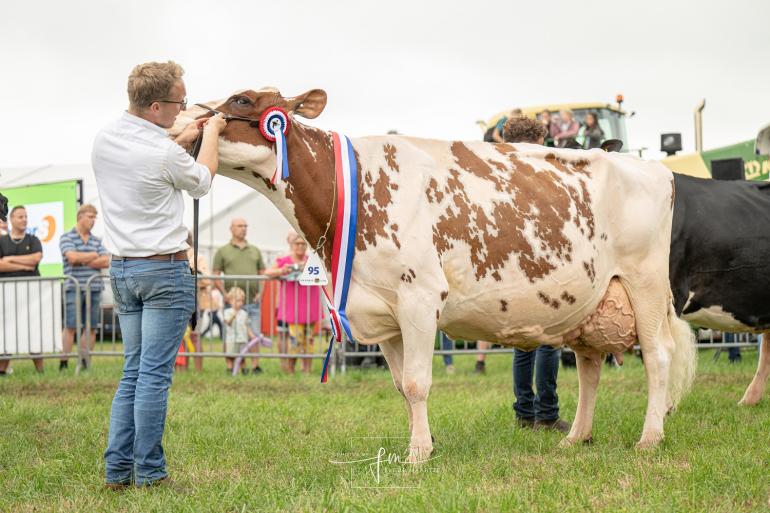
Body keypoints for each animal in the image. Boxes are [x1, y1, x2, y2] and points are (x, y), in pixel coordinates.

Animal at [174, 89, 696, 460]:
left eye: (242, 100)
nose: (187, 124)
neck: (352, 190)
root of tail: (654, 169)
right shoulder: (379, 311)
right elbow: (401, 386)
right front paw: (421, 442)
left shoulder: (420, 298)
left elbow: (417, 383)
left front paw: (418, 454)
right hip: (591, 299)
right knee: (589, 365)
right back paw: (576, 438)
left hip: (646, 284)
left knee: (658, 356)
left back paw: (649, 438)